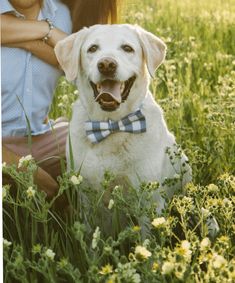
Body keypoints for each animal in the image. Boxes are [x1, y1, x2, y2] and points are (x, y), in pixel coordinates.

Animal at [55, 25, 191, 213]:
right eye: (93, 48)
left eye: (127, 48)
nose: (106, 65)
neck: (112, 124)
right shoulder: (86, 199)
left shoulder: (150, 201)